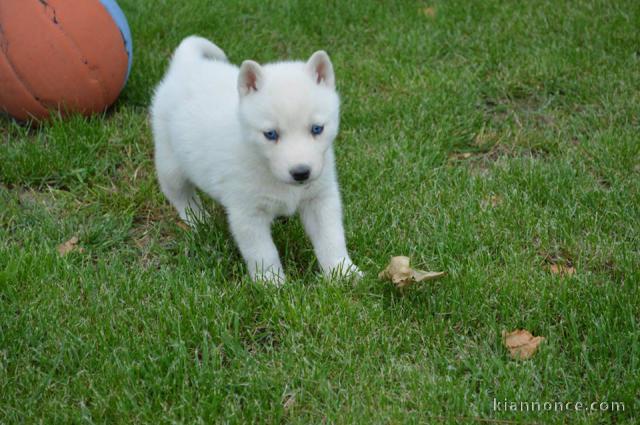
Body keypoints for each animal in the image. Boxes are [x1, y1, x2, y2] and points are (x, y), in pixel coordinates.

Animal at [149, 35, 360, 282]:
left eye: (317, 129)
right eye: (271, 134)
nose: (301, 172)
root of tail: (187, 65)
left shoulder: (321, 198)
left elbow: (331, 238)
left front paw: (343, 271)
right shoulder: (247, 213)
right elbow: (263, 252)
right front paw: (271, 282)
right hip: (170, 163)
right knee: (180, 196)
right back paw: (198, 220)